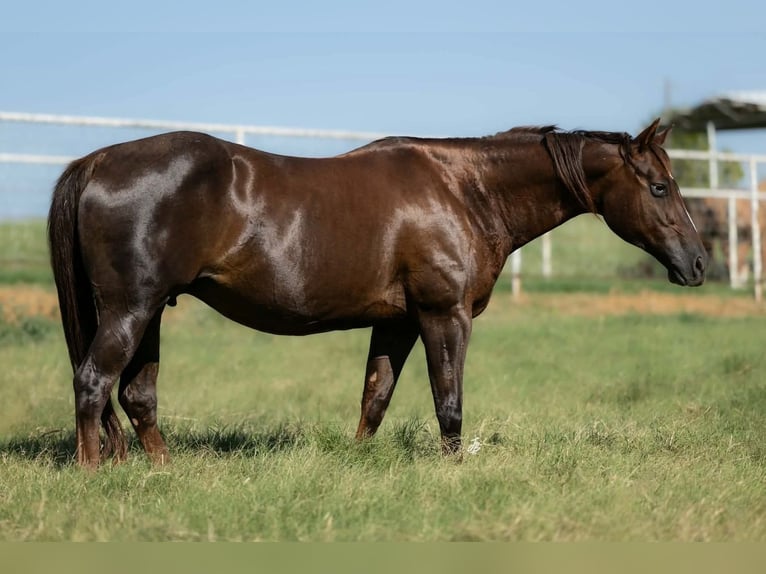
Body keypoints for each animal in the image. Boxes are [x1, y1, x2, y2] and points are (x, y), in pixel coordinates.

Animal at [48, 118, 706, 468]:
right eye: (658, 187)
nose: (699, 264)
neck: (463, 189)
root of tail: (97, 161)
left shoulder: (397, 322)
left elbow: (375, 398)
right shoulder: (445, 316)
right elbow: (448, 401)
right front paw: (453, 469)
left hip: (151, 312)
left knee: (137, 396)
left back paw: (161, 471)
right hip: (131, 310)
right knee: (93, 383)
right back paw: (93, 474)